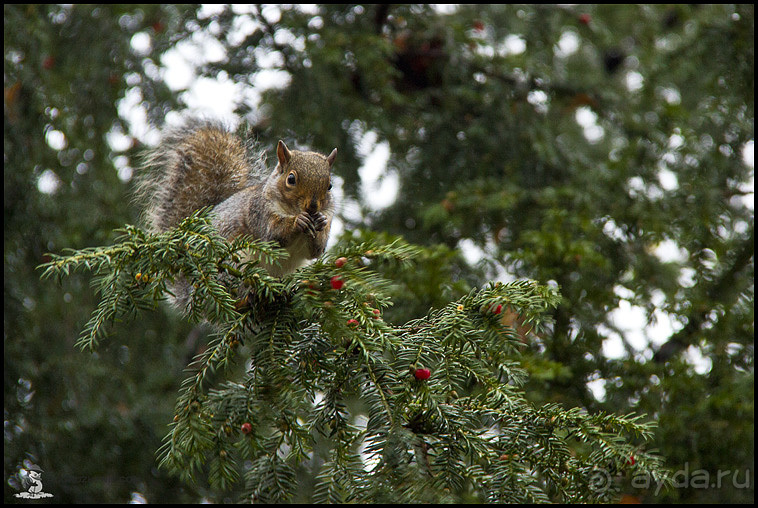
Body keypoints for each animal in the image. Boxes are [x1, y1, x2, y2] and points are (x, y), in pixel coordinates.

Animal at [137, 119, 338, 306]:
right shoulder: (258, 212)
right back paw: (249, 298)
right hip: (233, 266)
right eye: (291, 179)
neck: (290, 209)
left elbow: (316, 251)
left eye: (329, 185)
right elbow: (273, 235)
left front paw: (319, 223)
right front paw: (298, 221)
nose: (312, 207)